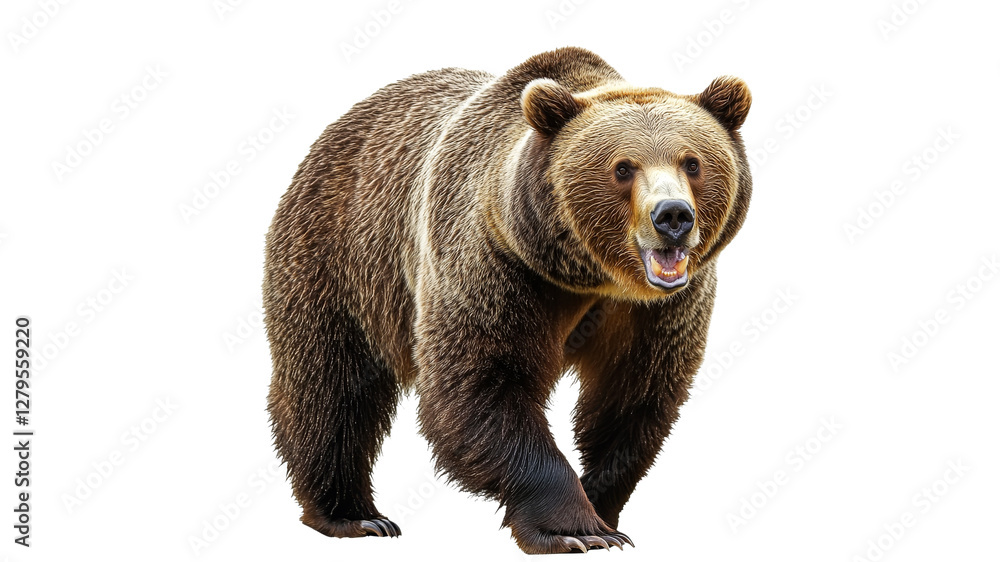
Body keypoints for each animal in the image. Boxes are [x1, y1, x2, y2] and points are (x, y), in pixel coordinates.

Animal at [264, 46, 752, 554]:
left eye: (692, 163)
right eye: (623, 167)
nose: (673, 216)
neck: (592, 278)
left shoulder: (659, 310)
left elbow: (633, 398)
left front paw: (603, 512)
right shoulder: (495, 266)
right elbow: (482, 385)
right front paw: (576, 530)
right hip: (340, 256)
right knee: (330, 383)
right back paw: (354, 515)